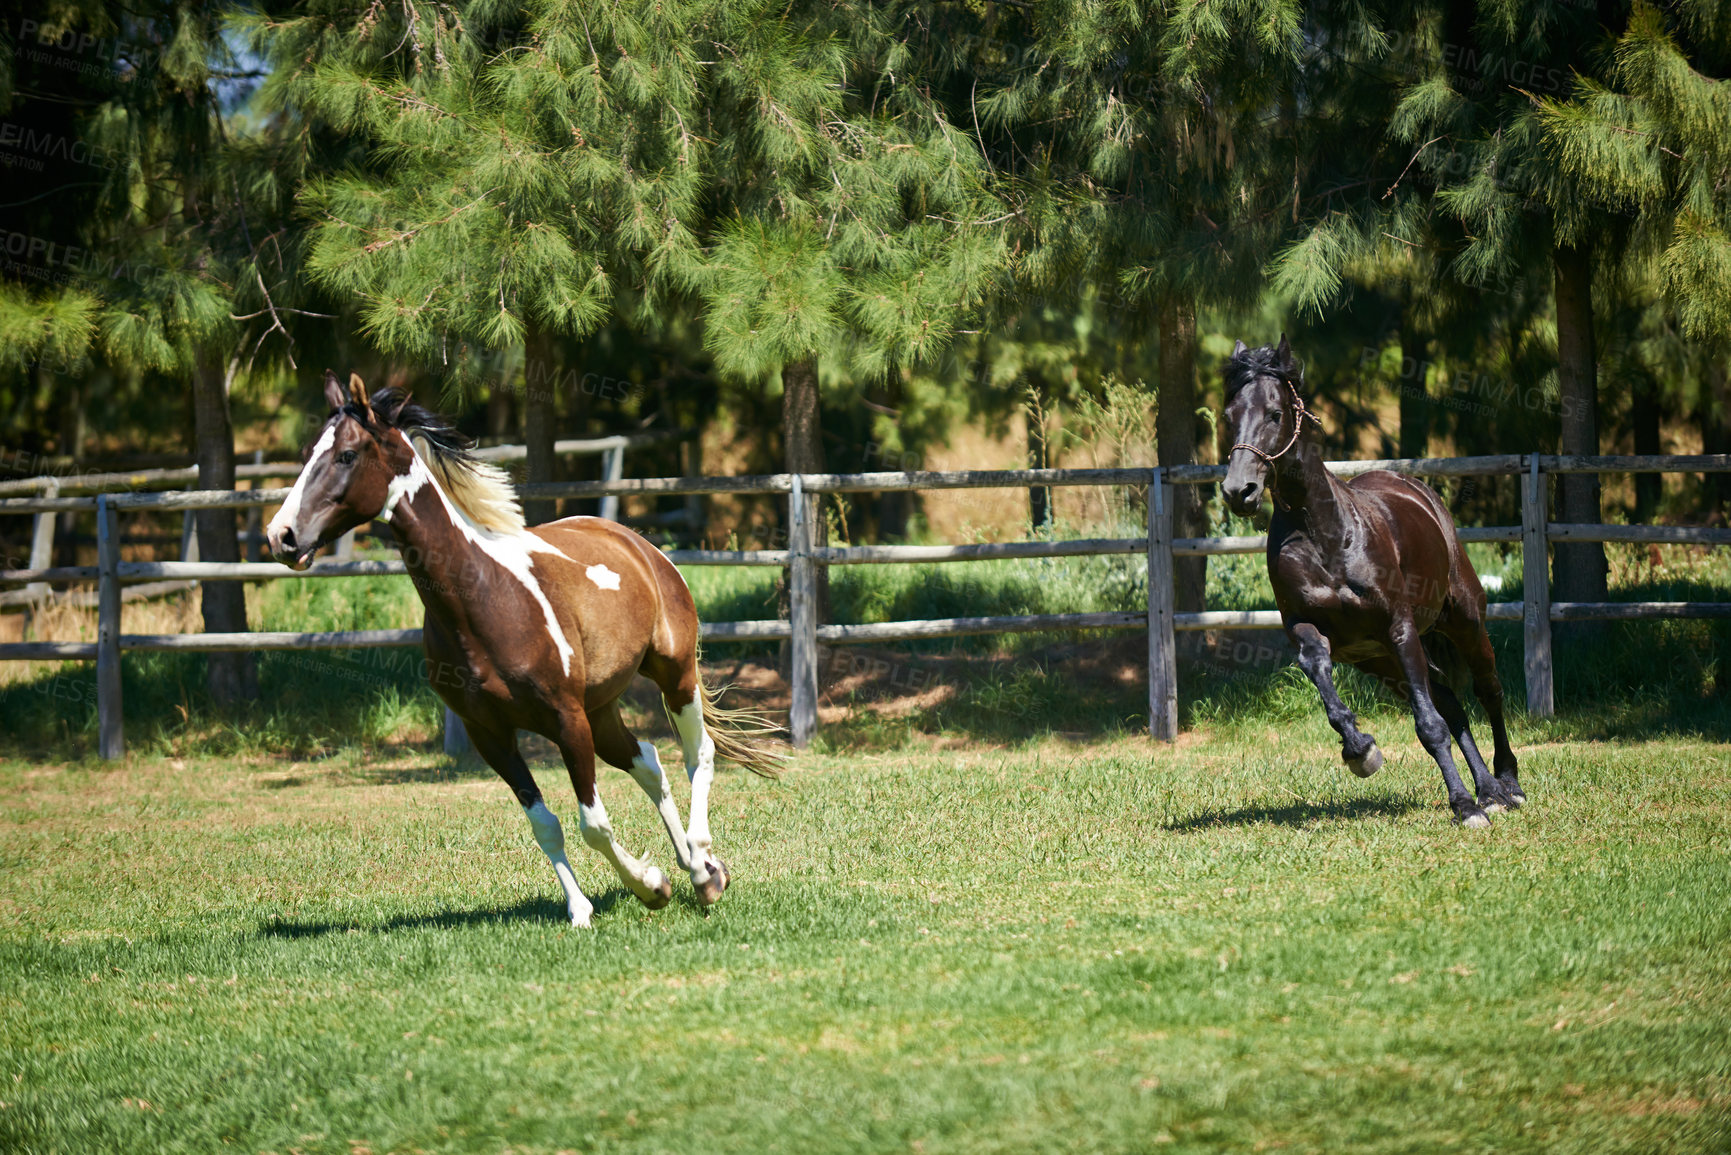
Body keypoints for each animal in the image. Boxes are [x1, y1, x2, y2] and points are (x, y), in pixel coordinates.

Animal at [264, 375, 778, 928]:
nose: (281, 535)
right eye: (306, 453)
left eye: (346, 455)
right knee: (648, 762)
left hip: (672, 673)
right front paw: (584, 908)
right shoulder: (491, 735)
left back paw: (704, 869)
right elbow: (545, 824)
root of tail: (637, 542)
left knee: (696, 754)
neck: (484, 601)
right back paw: (696, 865)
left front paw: (649, 885)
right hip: (601, 709)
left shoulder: (565, 720)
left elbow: (593, 824)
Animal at [1225, 339, 1523, 827]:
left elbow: (1429, 726)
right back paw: (1488, 791)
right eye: (1229, 414)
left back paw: (1508, 786)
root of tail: (1415, 488)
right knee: (1450, 702)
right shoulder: (1310, 630)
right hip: (1381, 661)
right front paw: (1360, 751)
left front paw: (1462, 808)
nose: (1239, 491)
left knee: (1487, 691)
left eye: (1274, 413)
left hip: (1462, 620)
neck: (1324, 533)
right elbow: (1319, 670)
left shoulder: (1398, 629)